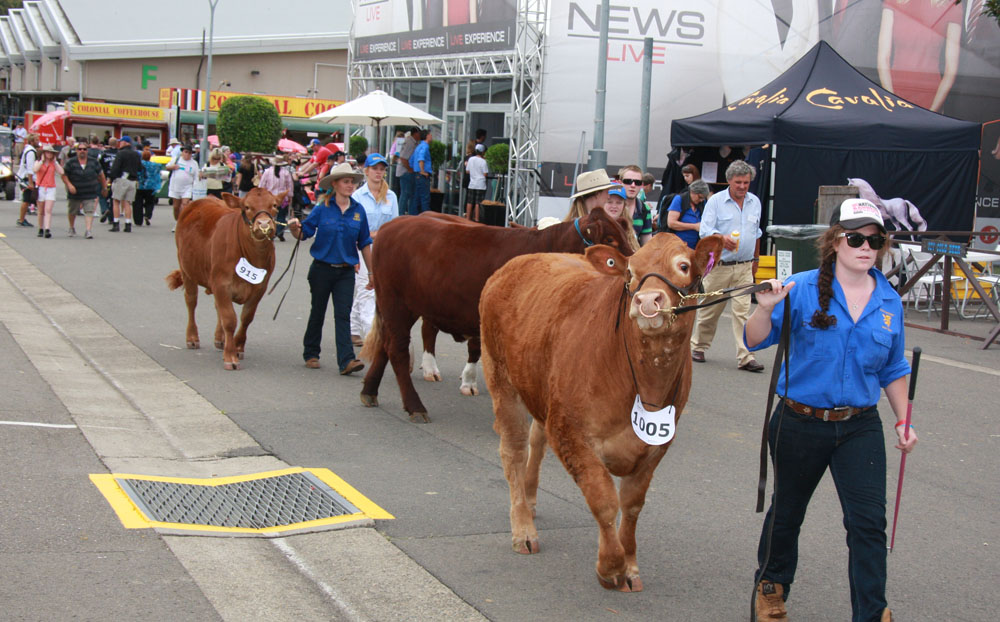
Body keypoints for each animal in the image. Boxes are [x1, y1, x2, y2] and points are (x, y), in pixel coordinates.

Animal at [165, 188, 286, 368]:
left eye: (275, 205)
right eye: (246, 207)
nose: (264, 224)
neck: (252, 255)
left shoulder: (260, 288)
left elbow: (246, 318)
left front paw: (238, 347)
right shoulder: (221, 284)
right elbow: (229, 319)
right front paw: (230, 356)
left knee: (217, 307)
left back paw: (220, 339)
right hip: (187, 270)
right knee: (191, 302)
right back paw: (192, 337)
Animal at [356, 210, 628, 424]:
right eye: (610, 240)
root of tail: (392, 225)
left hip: (403, 307)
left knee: (385, 345)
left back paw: (370, 391)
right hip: (396, 303)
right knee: (398, 351)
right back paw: (415, 406)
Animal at [480, 235, 724, 596]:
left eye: (683, 265)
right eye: (630, 272)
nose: (647, 300)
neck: (643, 384)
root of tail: (521, 261)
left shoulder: (657, 445)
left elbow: (632, 505)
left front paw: (631, 565)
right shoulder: (569, 430)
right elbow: (604, 499)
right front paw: (610, 567)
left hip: (538, 385)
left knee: (536, 442)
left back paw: (531, 498)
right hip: (500, 376)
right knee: (514, 449)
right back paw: (523, 528)